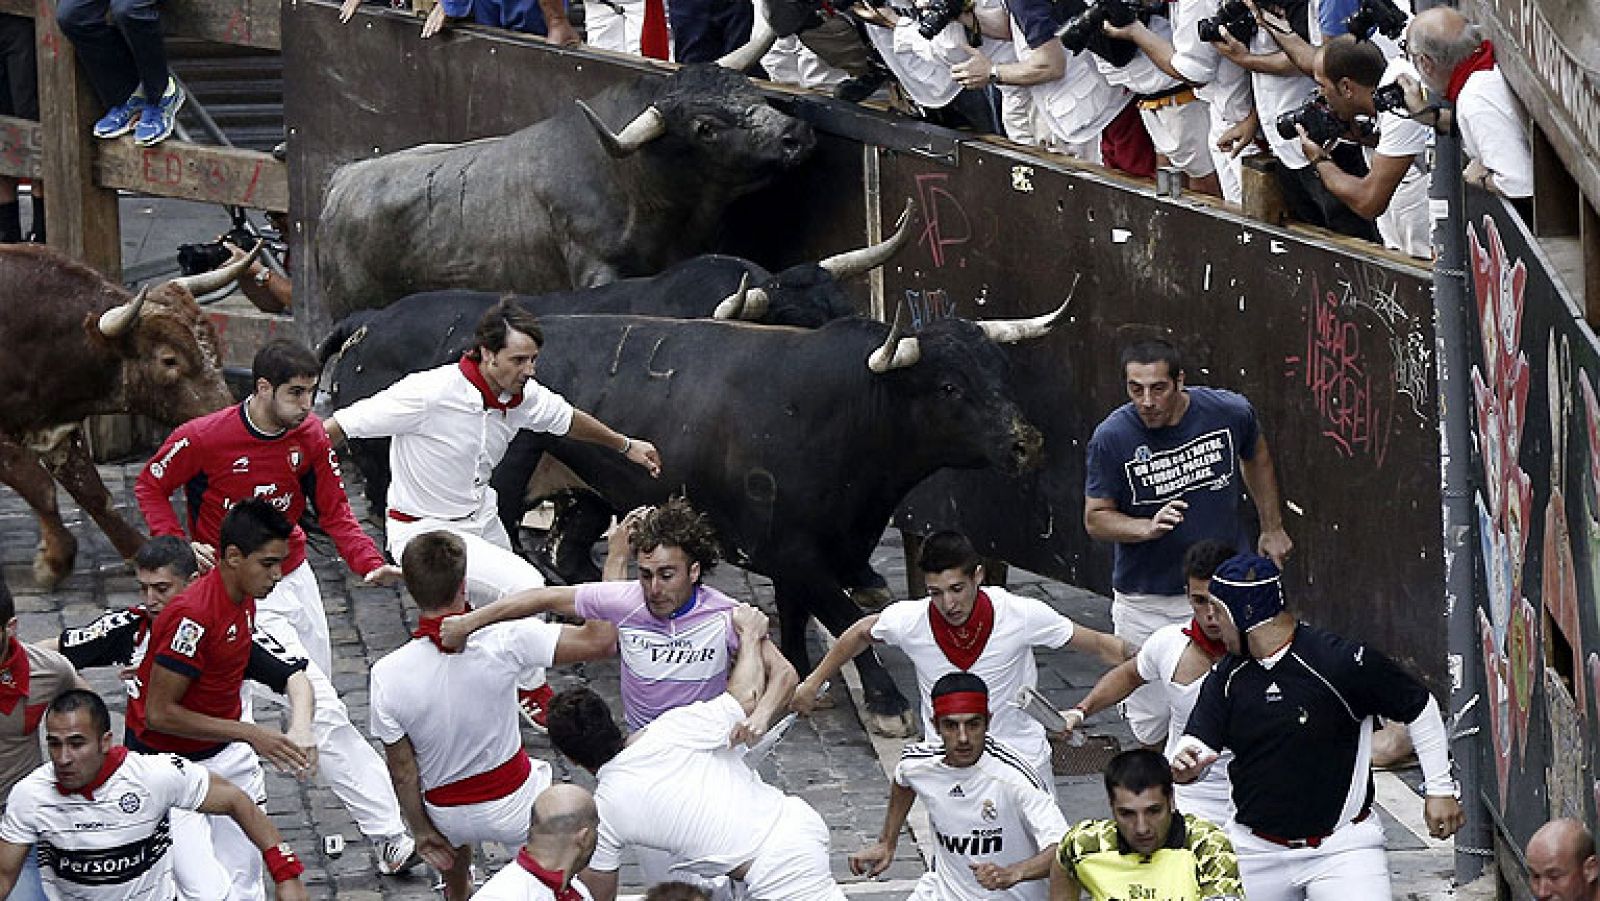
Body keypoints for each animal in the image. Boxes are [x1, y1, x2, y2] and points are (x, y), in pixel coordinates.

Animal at [0, 243, 249, 588]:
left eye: (213, 345)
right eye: (169, 359)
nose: (225, 415)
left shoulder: (57, 429)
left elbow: (93, 493)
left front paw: (138, 549)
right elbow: (40, 485)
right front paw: (54, 560)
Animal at [323, 310, 1062, 726]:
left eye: (1001, 372)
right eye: (949, 386)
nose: (1027, 443)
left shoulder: (807, 547)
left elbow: (799, 611)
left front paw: (798, 670)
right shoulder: (795, 548)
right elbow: (847, 614)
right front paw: (885, 704)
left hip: (594, 494)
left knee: (565, 552)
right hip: (503, 487)